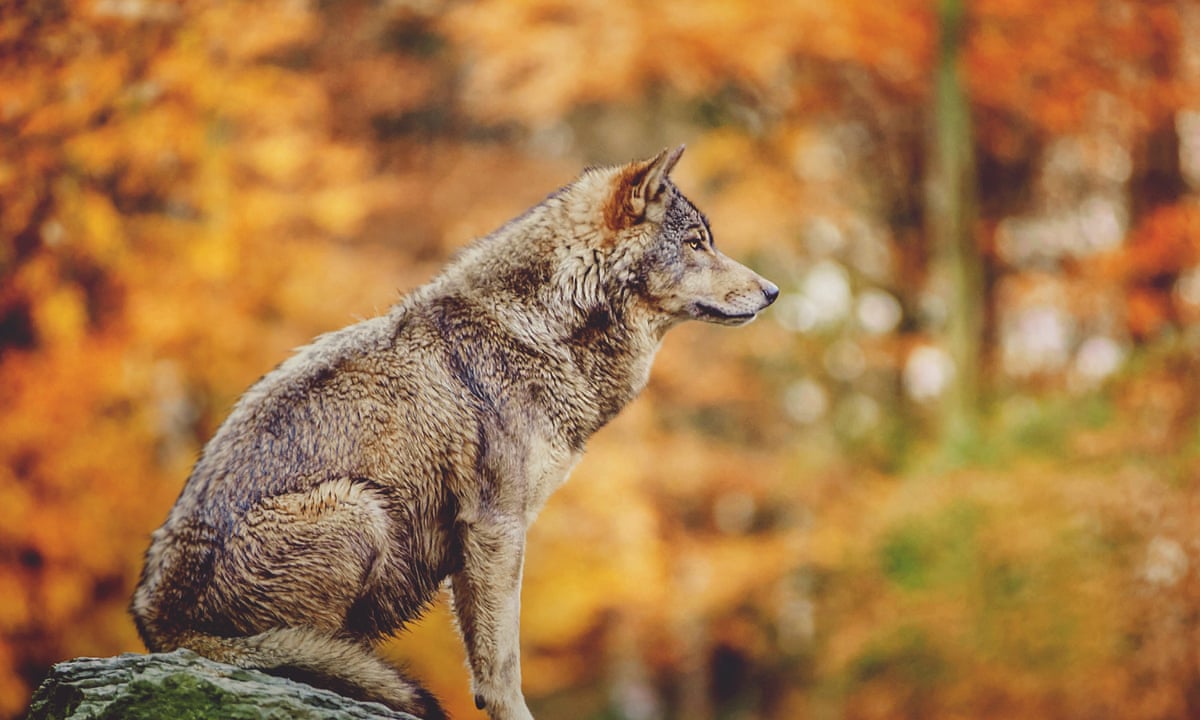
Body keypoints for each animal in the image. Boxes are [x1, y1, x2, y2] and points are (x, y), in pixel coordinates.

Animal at [130, 146, 778, 720]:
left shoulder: (479, 544)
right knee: (303, 653)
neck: (541, 329)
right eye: (696, 243)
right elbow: (503, 663)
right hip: (359, 508)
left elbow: (485, 660)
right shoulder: (496, 526)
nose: (772, 292)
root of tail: (158, 622)